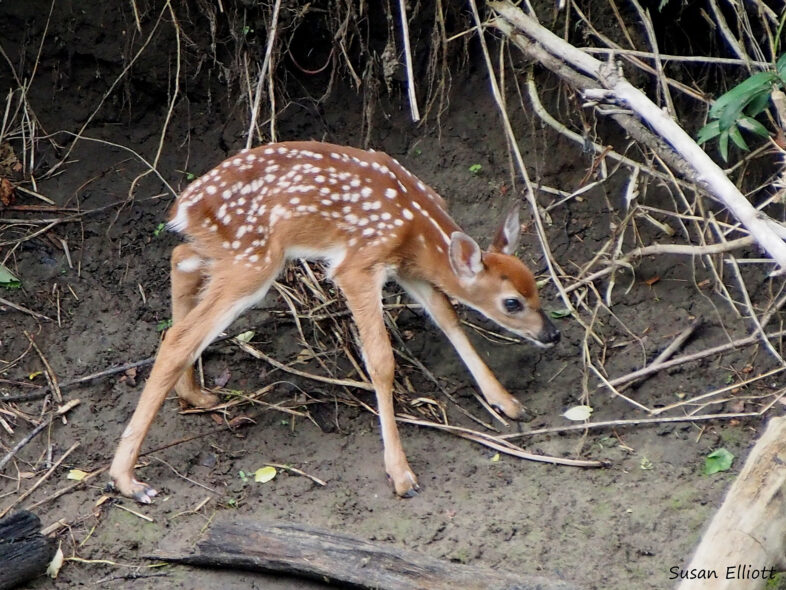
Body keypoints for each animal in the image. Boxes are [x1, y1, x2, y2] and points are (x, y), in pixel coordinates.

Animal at [109, 141, 560, 503]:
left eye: (536, 288)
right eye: (512, 303)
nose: (551, 333)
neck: (415, 227)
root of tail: (184, 205)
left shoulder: (409, 268)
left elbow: (448, 317)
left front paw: (507, 402)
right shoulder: (358, 264)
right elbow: (381, 360)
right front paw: (401, 474)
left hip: (226, 253)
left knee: (179, 259)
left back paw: (195, 395)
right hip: (254, 260)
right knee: (178, 336)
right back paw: (128, 480)